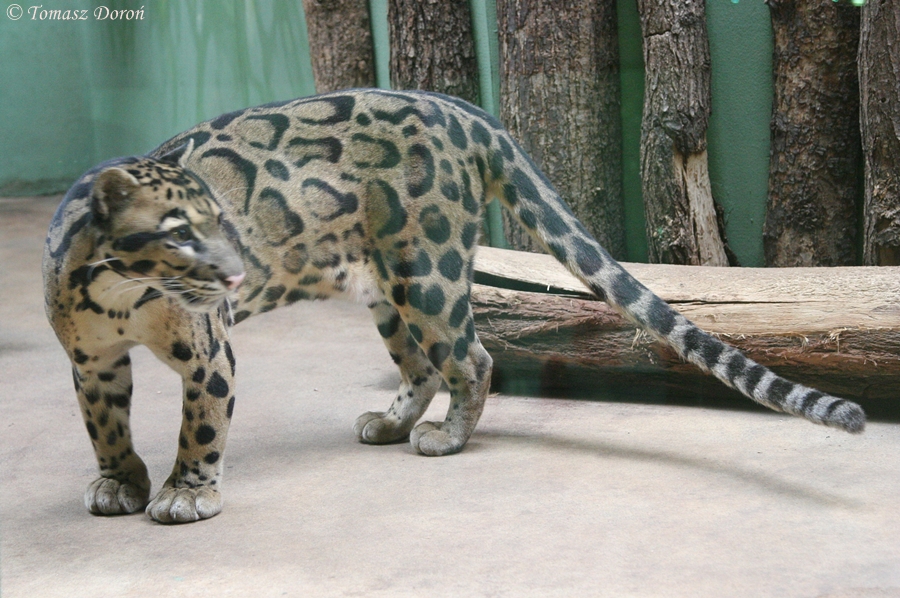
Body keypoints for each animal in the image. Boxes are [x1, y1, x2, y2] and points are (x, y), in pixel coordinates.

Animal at [43, 89, 866, 524]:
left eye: (224, 221)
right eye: (182, 231)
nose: (237, 273)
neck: (119, 296)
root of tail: (467, 110)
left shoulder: (209, 351)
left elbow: (202, 426)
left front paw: (186, 494)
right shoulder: (91, 362)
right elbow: (103, 427)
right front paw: (119, 482)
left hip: (428, 273)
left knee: (473, 357)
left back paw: (445, 438)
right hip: (389, 288)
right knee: (422, 365)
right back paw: (393, 422)